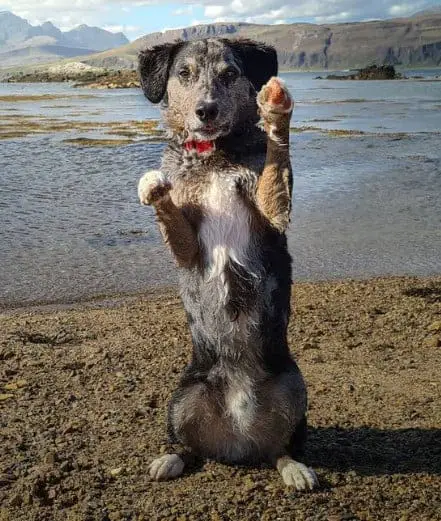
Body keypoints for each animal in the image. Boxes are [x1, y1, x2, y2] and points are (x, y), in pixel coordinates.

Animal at [137, 38, 316, 490]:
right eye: (183, 73)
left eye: (230, 73)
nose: (206, 110)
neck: (214, 155)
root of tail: (238, 441)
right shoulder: (186, 250)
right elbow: (168, 208)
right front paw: (154, 187)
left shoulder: (273, 212)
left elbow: (275, 162)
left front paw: (276, 111)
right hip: (182, 396)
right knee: (186, 445)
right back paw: (169, 460)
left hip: (295, 388)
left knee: (283, 448)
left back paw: (295, 469)